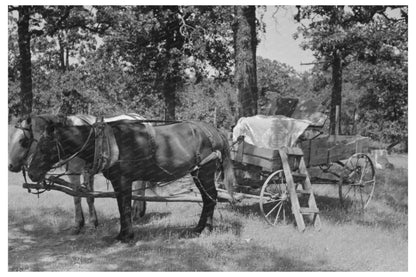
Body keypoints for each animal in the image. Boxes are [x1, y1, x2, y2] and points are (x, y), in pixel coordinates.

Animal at [27, 119, 236, 240]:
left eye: (44, 147)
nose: (31, 173)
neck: (107, 144)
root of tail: (214, 131)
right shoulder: (119, 182)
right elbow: (122, 206)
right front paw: (123, 233)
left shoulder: (123, 180)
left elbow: (125, 207)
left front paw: (127, 235)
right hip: (198, 173)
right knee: (208, 198)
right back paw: (201, 228)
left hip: (205, 172)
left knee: (210, 198)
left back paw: (204, 229)